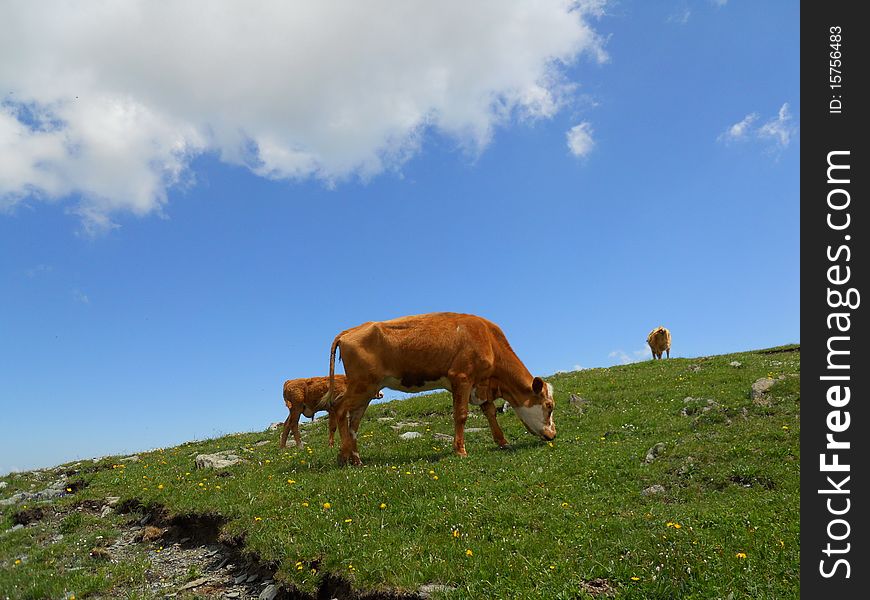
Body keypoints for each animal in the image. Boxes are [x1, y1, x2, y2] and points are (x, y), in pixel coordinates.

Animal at [328, 312, 560, 466]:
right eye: (549, 406)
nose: (553, 434)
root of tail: (350, 331)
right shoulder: (462, 378)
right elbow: (461, 415)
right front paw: (460, 450)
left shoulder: (481, 385)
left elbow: (491, 412)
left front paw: (502, 441)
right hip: (361, 385)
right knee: (339, 409)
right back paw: (343, 456)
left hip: (368, 391)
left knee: (354, 421)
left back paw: (356, 459)